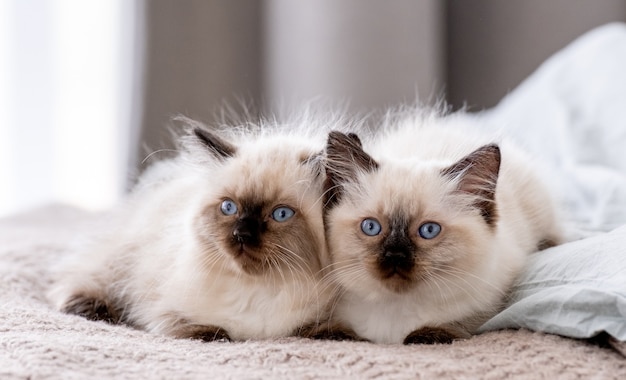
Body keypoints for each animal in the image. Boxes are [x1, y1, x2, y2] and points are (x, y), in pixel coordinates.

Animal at [48, 119, 332, 342]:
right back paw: (92, 310)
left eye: (281, 214)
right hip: (121, 261)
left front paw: (329, 334)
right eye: (229, 207)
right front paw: (218, 336)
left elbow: (315, 329)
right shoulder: (162, 310)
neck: (262, 289)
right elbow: (206, 331)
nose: (241, 235)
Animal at [322, 115, 560, 344]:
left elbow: (458, 323)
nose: (395, 255)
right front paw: (338, 335)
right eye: (371, 227)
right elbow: (339, 330)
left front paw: (427, 336)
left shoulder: (489, 299)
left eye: (429, 230)